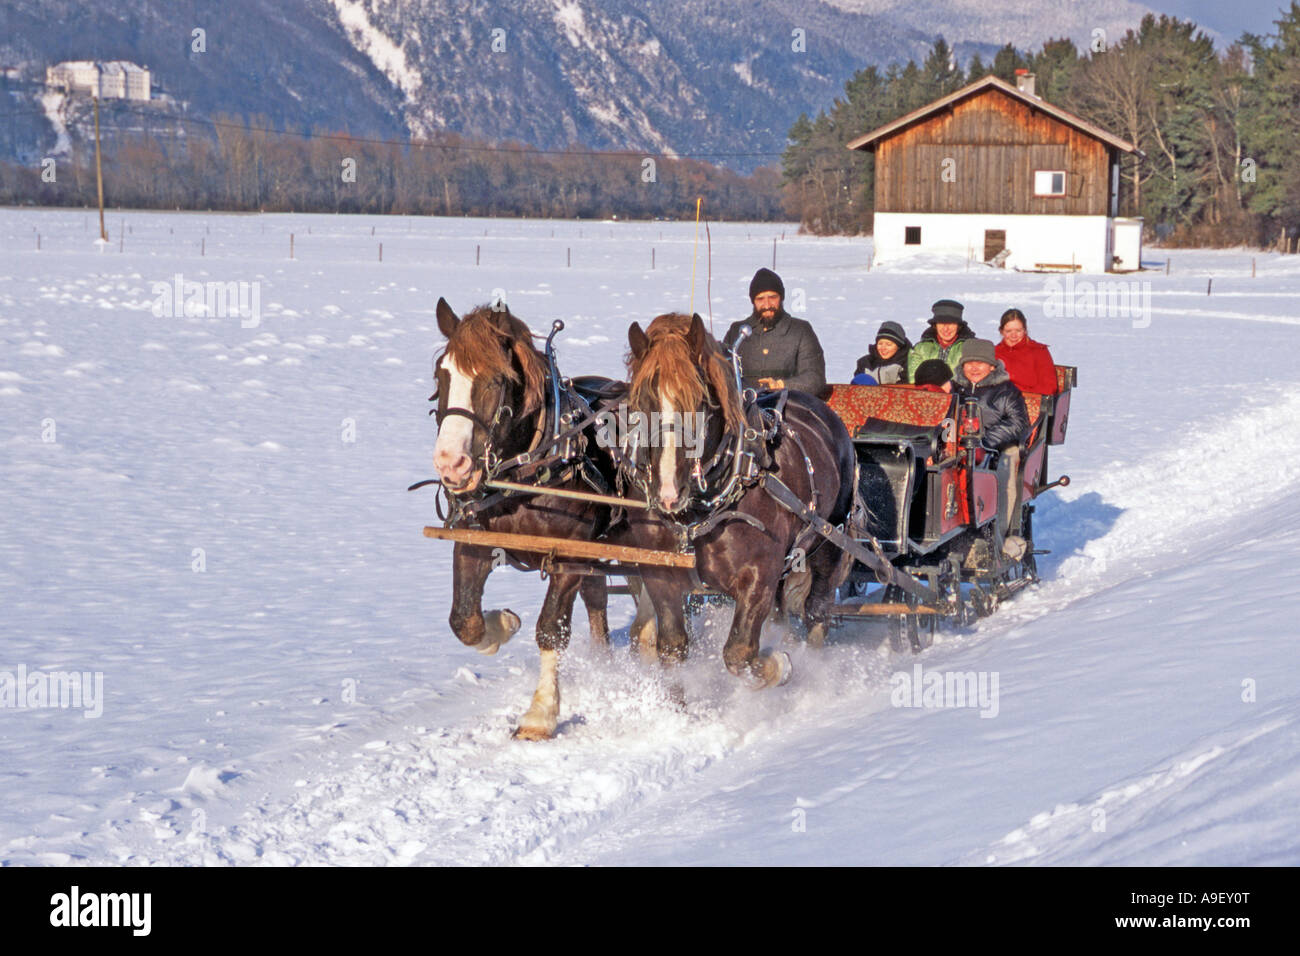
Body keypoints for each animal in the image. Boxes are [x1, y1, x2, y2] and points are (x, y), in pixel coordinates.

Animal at [432, 297, 640, 739]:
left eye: (495, 379)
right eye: (441, 373)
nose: (451, 465)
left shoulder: (568, 554)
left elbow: (551, 628)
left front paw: (540, 714)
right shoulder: (474, 539)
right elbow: (464, 620)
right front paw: (503, 624)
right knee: (598, 596)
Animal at [618, 312, 856, 687]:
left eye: (700, 403)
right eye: (641, 402)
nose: (668, 493)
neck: (697, 513)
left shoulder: (758, 576)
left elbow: (739, 652)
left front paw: (779, 664)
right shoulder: (660, 576)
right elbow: (671, 649)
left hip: (829, 542)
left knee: (817, 611)